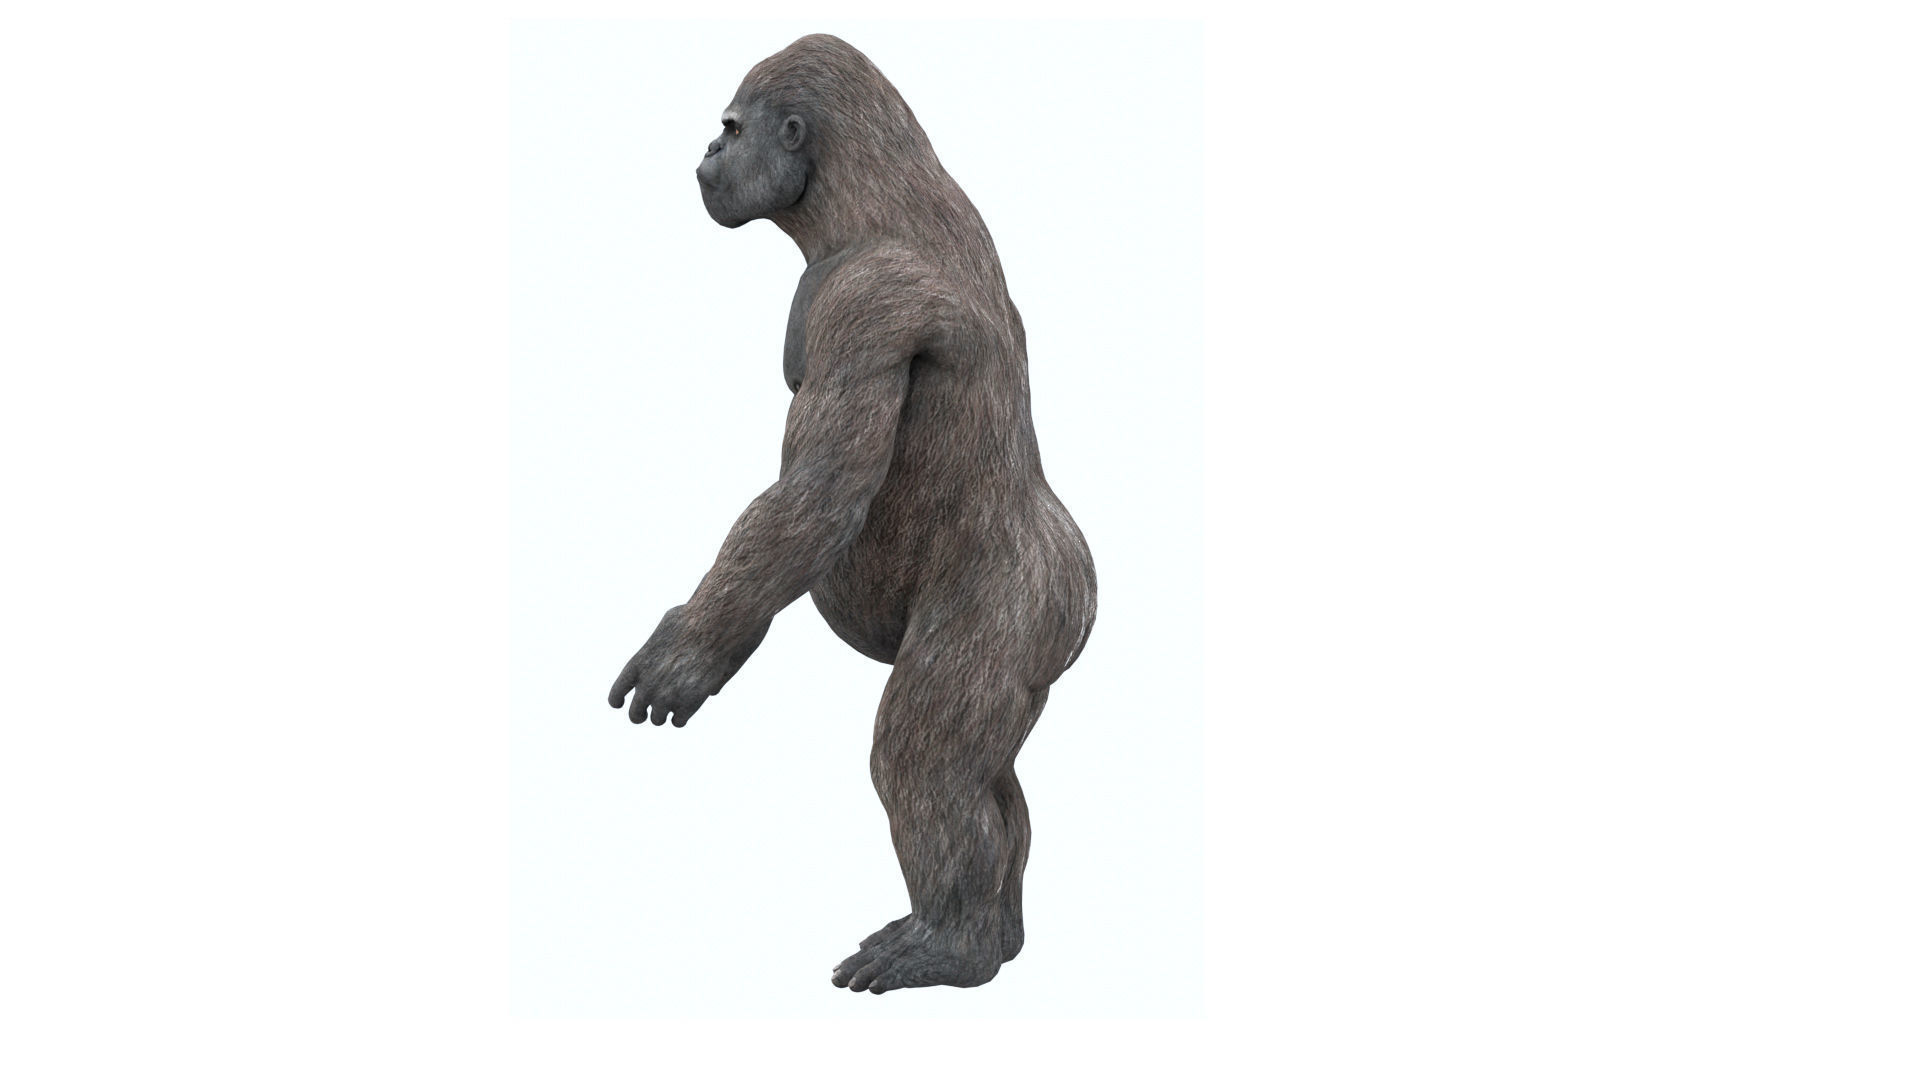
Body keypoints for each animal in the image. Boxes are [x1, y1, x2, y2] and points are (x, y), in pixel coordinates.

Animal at [607, 34, 1095, 994]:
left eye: (732, 127)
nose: (710, 150)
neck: (863, 199)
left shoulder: (868, 297)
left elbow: (822, 488)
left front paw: (694, 647)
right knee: (991, 773)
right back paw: (996, 936)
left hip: (1022, 605)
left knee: (924, 751)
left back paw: (951, 943)